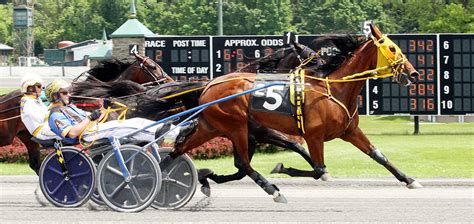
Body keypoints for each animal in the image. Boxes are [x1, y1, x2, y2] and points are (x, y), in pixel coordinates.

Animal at [162, 25, 422, 203]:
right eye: (392, 48)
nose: (413, 73)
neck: (335, 88)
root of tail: (209, 86)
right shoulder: (313, 135)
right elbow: (319, 169)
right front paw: (282, 168)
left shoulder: (350, 131)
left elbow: (378, 155)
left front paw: (410, 180)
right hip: (236, 127)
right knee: (243, 164)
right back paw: (273, 190)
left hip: (213, 126)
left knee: (178, 151)